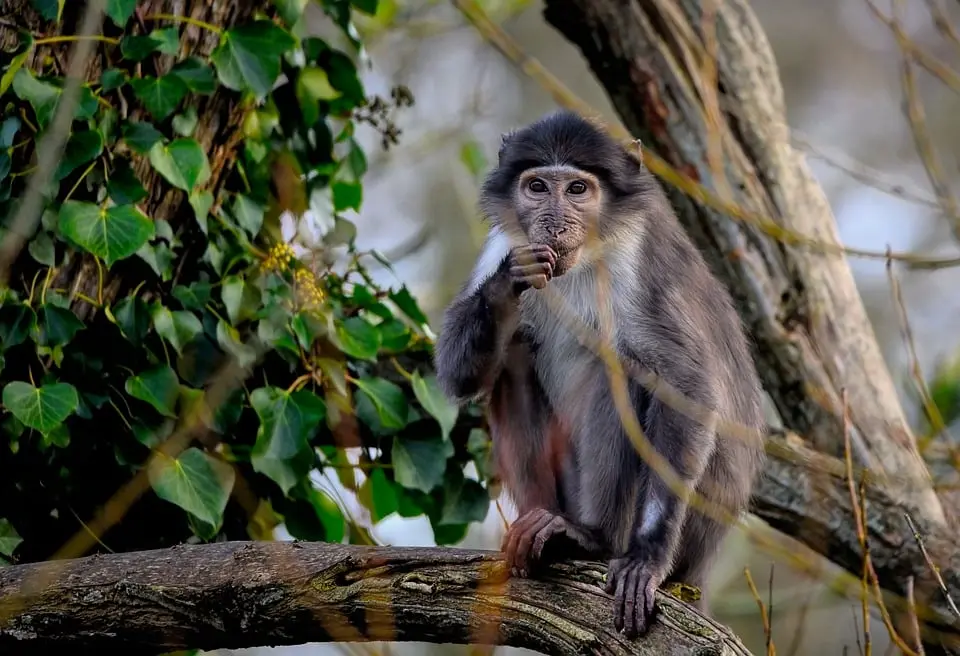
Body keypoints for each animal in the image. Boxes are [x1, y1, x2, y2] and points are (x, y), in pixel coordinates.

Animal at [434, 110, 764, 640]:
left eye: (577, 189)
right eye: (538, 187)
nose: (553, 222)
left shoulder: (640, 260)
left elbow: (685, 388)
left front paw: (645, 559)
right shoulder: (502, 242)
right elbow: (459, 375)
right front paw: (509, 282)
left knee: (626, 369)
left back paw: (590, 538)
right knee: (514, 355)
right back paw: (544, 525)